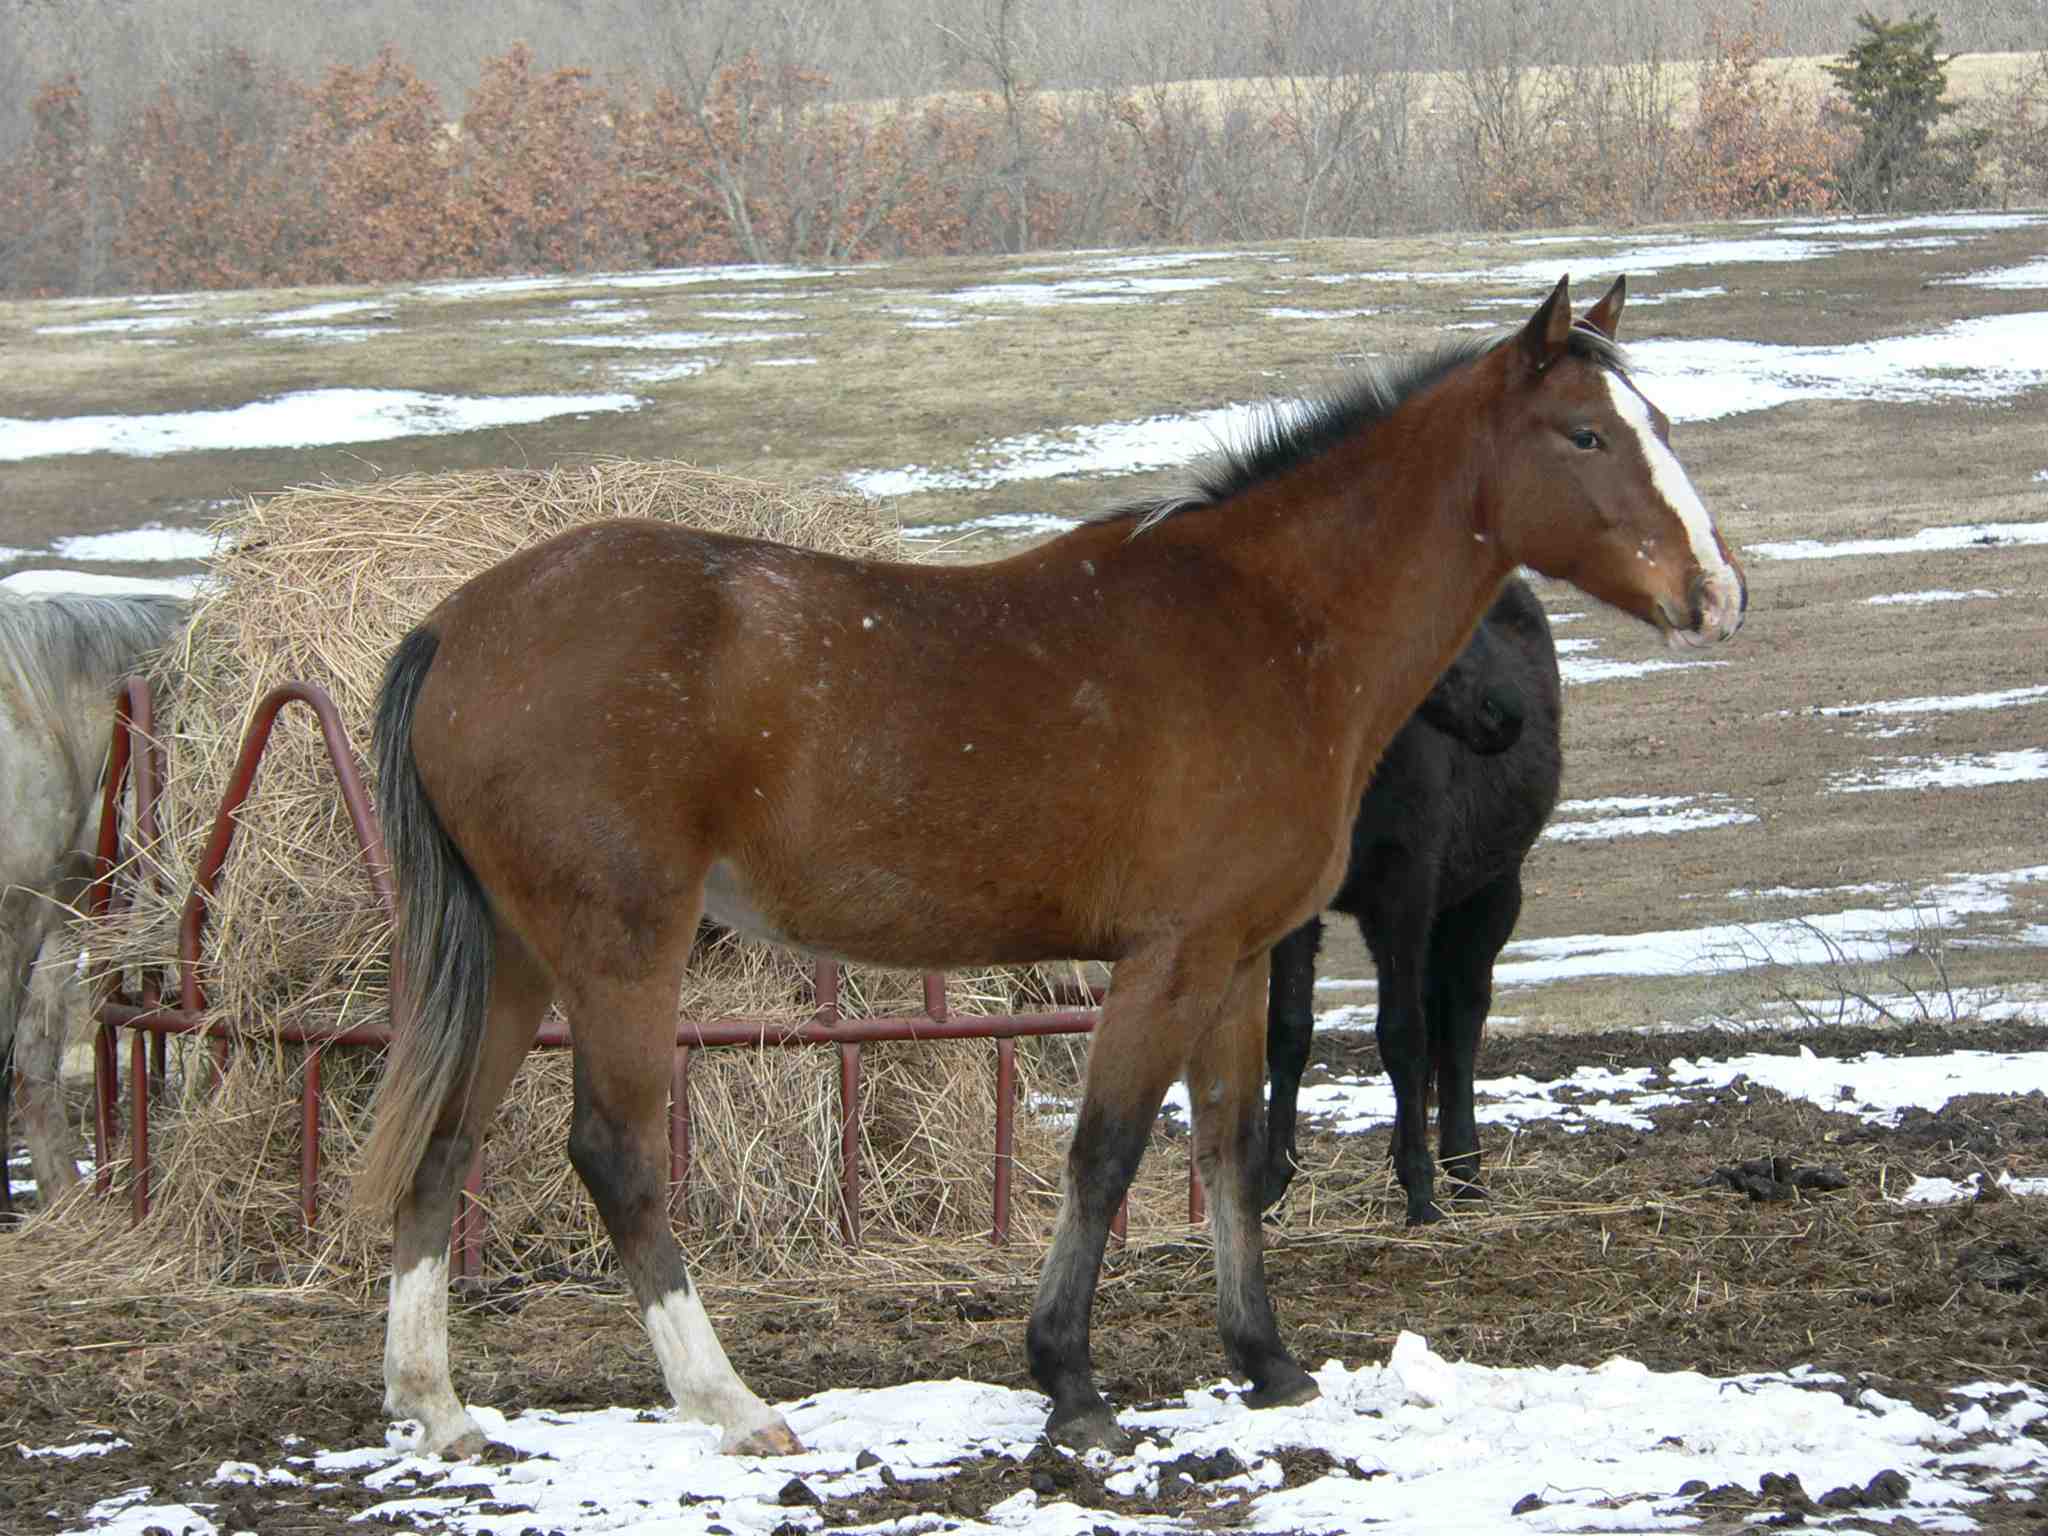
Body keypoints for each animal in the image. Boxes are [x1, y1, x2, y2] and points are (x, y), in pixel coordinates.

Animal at [1261, 573, 1563, 1226]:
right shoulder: (1301, 910)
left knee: (1462, 1020)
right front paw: (1269, 1187)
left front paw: (1422, 1195)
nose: (1505, 713)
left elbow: (1402, 1035)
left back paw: (1463, 1170)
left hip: (1489, 897)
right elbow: (1289, 1032)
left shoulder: (1404, 897)